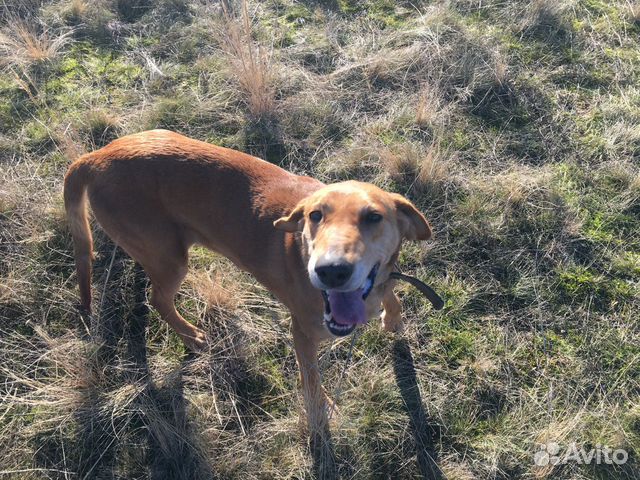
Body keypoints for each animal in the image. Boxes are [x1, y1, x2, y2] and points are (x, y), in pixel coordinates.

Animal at [63, 130, 430, 416]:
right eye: (315, 216)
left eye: (373, 217)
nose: (330, 271)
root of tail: (96, 157)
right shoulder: (303, 334)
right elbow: (311, 379)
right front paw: (320, 413)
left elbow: (392, 294)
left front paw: (392, 318)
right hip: (171, 259)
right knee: (159, 300)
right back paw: (191, 335)